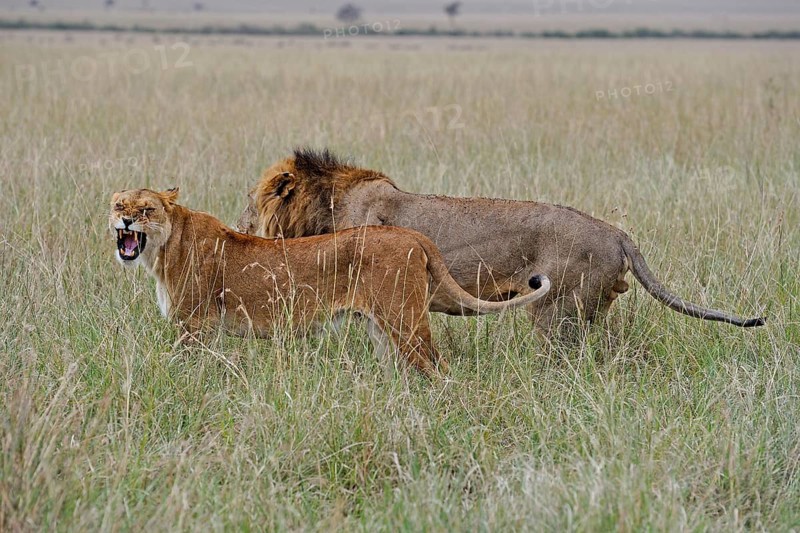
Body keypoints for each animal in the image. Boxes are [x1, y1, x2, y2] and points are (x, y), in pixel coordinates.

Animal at [110, 188, 551, 376]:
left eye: (147, 209)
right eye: (118, 204)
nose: (126, 221)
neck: (161, 249)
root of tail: (413, 235)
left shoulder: (194, 326)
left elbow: (181, 365)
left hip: (404, 320)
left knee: (436, 365)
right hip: (382, 328)